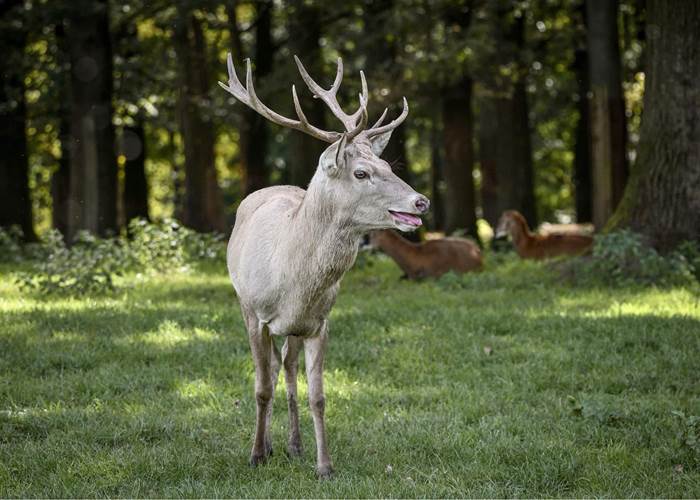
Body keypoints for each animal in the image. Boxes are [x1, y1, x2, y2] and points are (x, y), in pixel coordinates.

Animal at [219, 53, 429, 478]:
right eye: (361, 172)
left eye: (388, 165)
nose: (421, 201)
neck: (293, 279)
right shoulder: (255, 313)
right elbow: (260, 387)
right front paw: (255, 455)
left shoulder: (319, 322)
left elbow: (318, 395)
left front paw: (324, 466)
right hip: (246, 305)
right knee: (270, 370)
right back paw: (268, 444)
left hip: (295, 330)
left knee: (287, 366)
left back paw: (294, 444)